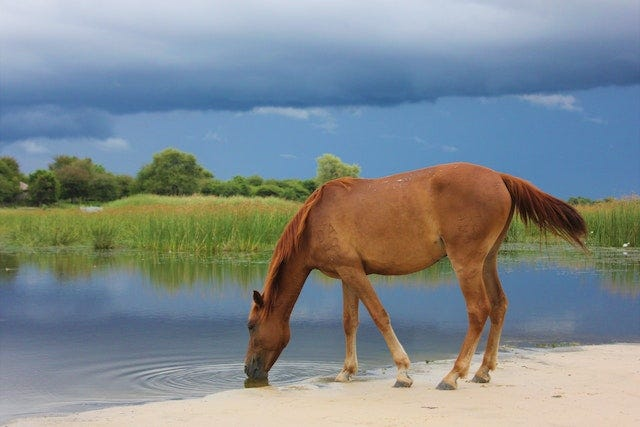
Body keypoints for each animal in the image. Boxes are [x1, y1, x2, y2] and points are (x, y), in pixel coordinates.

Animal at [244, 162, 586, 389]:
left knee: (479, 310)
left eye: (250, 326)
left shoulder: (354, 273)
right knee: (500, 305)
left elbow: (379, 316)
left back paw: (453, 375)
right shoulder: (347, 274)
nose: (248, 370)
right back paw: (482, 371)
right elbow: (349, 322)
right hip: (488, 261)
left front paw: (402, 371)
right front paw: (346, 372)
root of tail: (499, 178)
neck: (315, 220)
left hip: (466, 264)